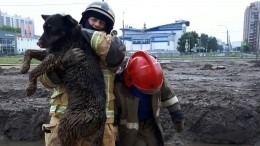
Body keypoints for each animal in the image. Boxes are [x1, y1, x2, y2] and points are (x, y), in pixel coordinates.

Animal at [19, 14, 106, 146]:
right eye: (44, 27)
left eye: (52, 28)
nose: (38, 42)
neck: (68, 35)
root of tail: (101, 119)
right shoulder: (49, 53)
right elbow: (29, 52)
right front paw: (24, 67)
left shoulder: (54, 56)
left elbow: (35, 71)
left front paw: (31, 87)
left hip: (66, 124)